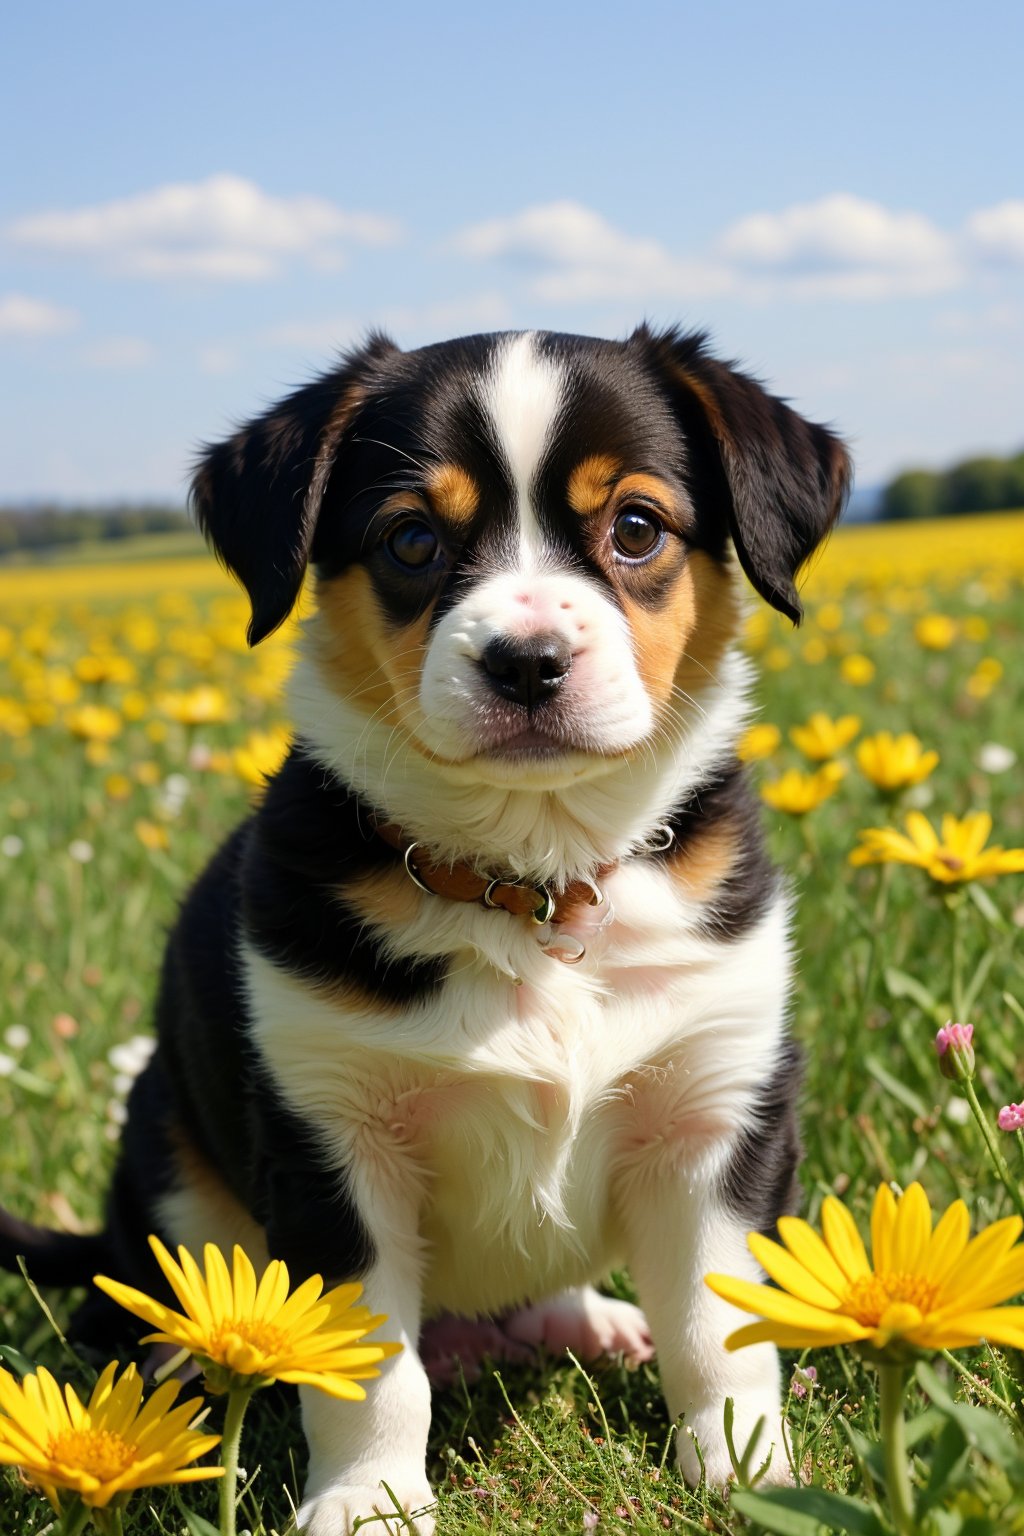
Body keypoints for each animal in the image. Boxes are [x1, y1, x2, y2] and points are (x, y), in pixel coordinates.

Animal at [0, 324, 847, 1523]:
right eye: (410, 539)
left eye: (636, 527)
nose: (526, 661)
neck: (534, 885)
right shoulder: (333, 1140)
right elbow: (367, 1369)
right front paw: (367, 1503)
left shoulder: (717, 1106)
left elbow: (716, 1322)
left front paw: (744, 1467)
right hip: (165, 1140)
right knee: (167, 1284)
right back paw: (173, 1384)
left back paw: (586, 1319)